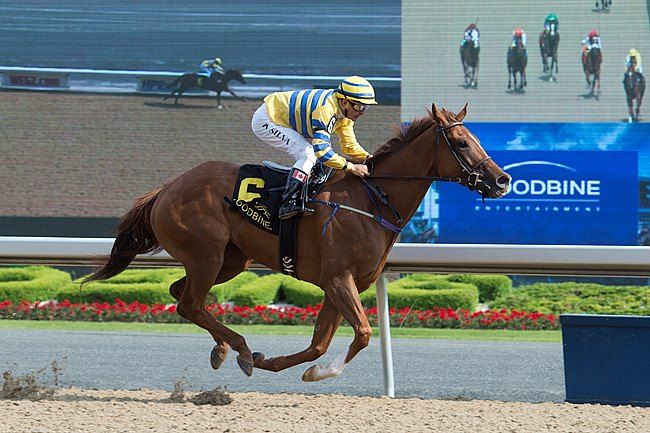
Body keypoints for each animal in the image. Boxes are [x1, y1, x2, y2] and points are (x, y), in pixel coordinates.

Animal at [83, 103, 510, 381]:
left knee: (182, 295)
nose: (502, 180)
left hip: (231, 260)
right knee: (190, 303)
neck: (370, 200)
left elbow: (321, 343)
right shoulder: (339, 280)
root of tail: (167, 188)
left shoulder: (341, 285)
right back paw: (239, 346)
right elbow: (363, 334)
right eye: (461, 143)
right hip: (206, 253)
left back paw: (224, 349)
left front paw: (291, 365)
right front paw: (319, 372)